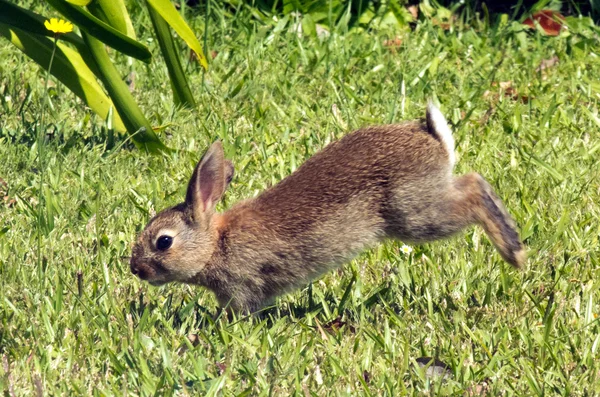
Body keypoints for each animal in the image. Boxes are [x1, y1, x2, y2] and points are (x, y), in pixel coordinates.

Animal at [131, 103, 524, 312]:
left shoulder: (242, 286)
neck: (215, 244)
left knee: (473, 189)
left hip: (416, 212)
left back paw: (514, 252)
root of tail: (432, 138)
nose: (137, 270)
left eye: (163, 242)